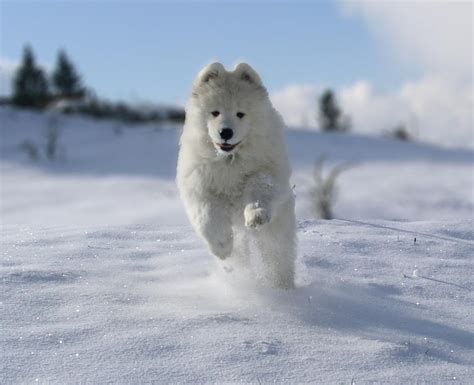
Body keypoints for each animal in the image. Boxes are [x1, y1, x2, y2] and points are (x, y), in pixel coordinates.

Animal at [178, 61, 296, 286]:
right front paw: (222, 247)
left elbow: (260, 190)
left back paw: (280, 286)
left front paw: (256, 215)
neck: (230, 159)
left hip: (278, 230)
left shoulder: (266, 171)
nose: (226, 132)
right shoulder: (199, 184)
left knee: (278, 256)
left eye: (240, 113)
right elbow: (207, 217)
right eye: (215, 112)